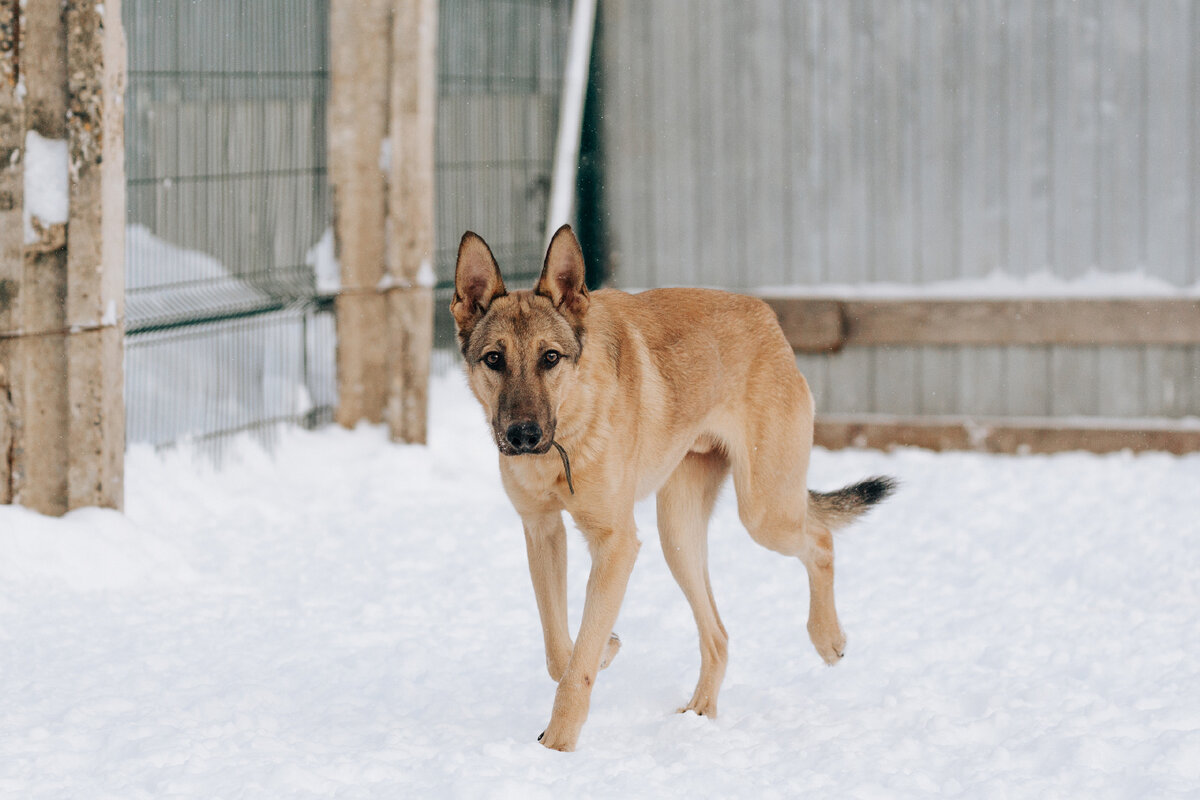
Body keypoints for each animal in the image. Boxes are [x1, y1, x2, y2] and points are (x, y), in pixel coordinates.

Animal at [451, 225, 892, 753]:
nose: (522, 437)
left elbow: (576, 664)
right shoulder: (542, 531)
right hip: (678, 537)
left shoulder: (616, 544)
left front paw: (557, 746)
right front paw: (605, 649)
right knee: (718, 635)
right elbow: (561, 650)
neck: (568, 432)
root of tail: (765, 315)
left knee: (820, 542)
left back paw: (828, 639)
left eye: (550, 358)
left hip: (763, 512)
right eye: (494, 359)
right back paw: (701, 711)